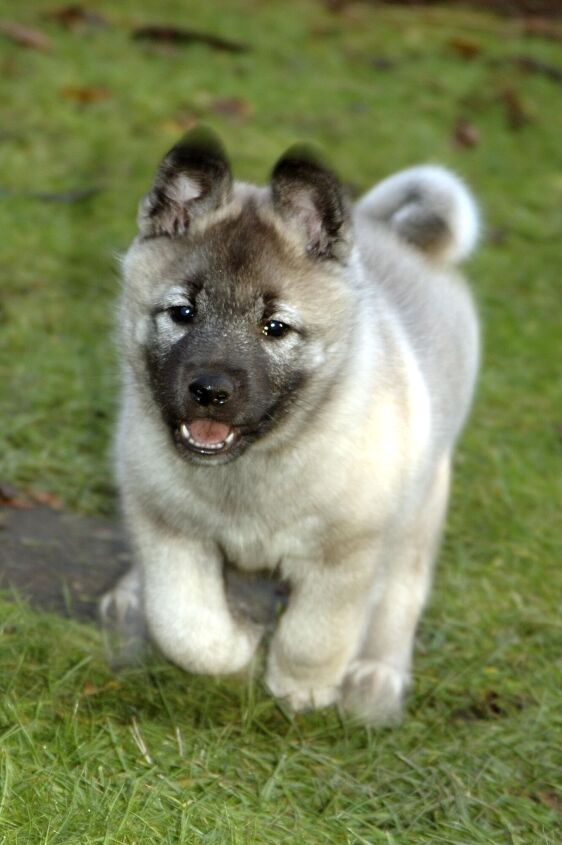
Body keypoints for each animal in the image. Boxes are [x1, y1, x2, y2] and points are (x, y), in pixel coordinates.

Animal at [99, 129, 476, 724]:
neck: (254, 468)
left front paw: (302, 687)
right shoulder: (166, 525)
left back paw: (377, 676)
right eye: (182, 312)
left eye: (275, 327)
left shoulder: (347, 554)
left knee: (402, 595)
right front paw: (237, 644)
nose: (210, 391)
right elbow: (183, 622)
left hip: (420, 507)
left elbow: (315, 633)